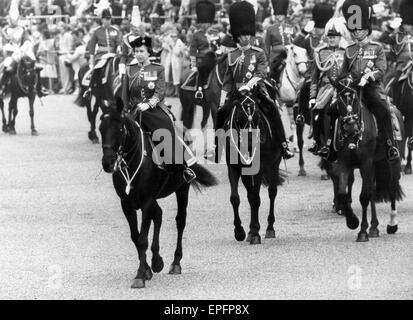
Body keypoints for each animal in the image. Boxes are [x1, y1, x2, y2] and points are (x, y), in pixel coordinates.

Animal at [99, 99, 219, 288]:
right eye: (100, 129)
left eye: (119, 129)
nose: (108, 163)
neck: (133, 161)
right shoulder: (127, 204)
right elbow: (136, 237)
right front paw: (147, 269)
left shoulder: (147, 201)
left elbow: (142, 239)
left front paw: (140, 275)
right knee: (159, 215)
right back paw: (157, 261)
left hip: (182, 188)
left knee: (180, 221)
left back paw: (175, 263)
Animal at [222, 85, 284, 245]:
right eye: (240, 117)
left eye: (258, 116)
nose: (251, 142)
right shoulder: (233, 167)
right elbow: (235, 198)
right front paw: (240, 232)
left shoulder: (258, 168)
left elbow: (255, 198)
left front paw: (255, 232)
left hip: (273, 165)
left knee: (272, 193)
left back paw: (269, 228)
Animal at [330, 77, 404, 242]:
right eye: (339, 101)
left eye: (355, 100)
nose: (351, 126)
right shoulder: (344, 164)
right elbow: (343, 194)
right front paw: (352, 221)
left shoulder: (365, 163)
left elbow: (363, 197)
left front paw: (362, 231)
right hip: (374, 165)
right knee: (372, 192)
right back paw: (374, 227)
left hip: (392, 163)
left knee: (391, 188)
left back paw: (392, 224)